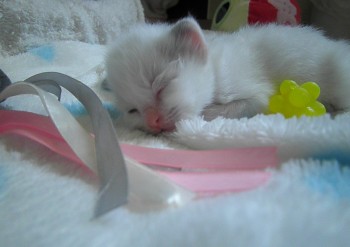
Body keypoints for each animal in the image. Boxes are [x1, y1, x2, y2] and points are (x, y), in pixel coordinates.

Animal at [106, 17, 350, 133]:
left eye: (161, 85)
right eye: (132, 110)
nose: (152, 121)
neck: (214, 67)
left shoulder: (253, 92)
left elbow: (236, 107)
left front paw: (204, 114)